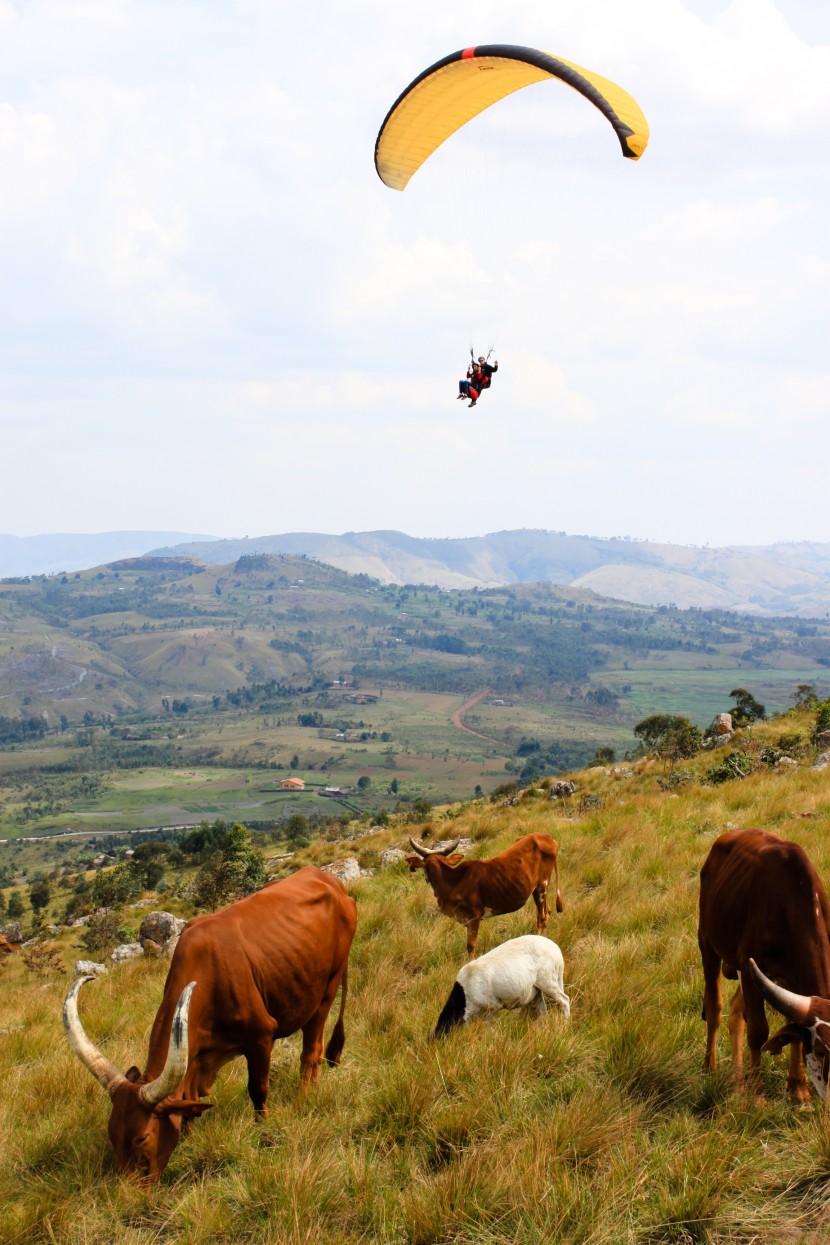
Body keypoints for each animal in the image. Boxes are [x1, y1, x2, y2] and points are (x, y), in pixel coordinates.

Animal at [64, 861, 358, 1180]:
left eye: (142, 1137)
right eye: (112, 1134)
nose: (128, 1188)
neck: (210, 976)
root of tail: (330, 880)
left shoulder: (260, 1038)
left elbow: (258, 1090)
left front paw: (263, 1130)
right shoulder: (196, 1058)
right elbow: (189, 1104)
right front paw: (189, 1139)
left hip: (326, 991)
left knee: (311, 1052)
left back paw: (305, 1097)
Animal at [405, 831, 562, 956]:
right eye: (426, 865)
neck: (453, 882)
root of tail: (546, 836)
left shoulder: (474, 916)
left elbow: (470, 946)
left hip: (542, 886)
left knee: (541, 917)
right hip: (538, 890)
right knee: (547, 912)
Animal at [433, 936, 567, 1040]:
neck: (465, 995)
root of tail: (556, 950)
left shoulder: (492, 1008)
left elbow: (489, 1028)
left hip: (548, 981)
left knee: (564, 1000)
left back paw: (566, 1022)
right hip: (536, 991)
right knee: (543, 1011)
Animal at [696, 826, 830, 1100]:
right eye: (822, 1051)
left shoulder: (789, 983)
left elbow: (794, 1033)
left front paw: (798, 1089)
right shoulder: (751, 969)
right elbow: (758, 1032)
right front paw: (756, 1094)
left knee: (736, 1010)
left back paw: (737, 1077)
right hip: (707, 942)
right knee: (715, 1007)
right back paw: (710, 1067)